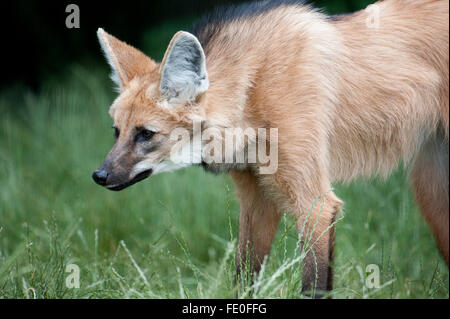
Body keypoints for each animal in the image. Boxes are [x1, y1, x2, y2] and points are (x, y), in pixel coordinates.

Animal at [93, 0, 448, 296]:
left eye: (146, 134)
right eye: (116, 132)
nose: (99, 176)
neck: (252, 90)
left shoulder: (316, 205)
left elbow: (313, 284)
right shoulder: (257, 201)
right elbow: (244, 276)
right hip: (433, 196)